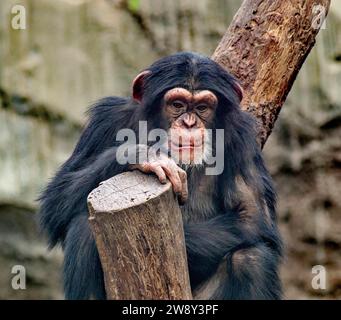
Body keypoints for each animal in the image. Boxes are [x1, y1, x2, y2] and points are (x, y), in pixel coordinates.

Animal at [37, 52, 282, 300]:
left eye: (202, 107)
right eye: (177, 104)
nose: (189, 123)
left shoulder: (242, 138)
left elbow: (251, 217)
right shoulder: (106, 118)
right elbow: (56, 201)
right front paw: (144, 155)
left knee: (251, 259)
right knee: (82, 228)